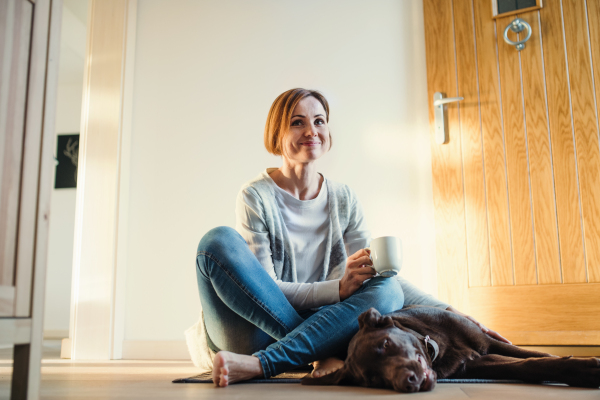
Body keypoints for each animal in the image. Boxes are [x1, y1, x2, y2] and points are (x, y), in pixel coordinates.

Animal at [302, 304, 600, 392]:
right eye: (373, 380)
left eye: (385, 344)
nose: (408, 382)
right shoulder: (476, 364)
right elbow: (527, 366)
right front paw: (582, 370)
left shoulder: (488, 343)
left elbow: (536, 355)